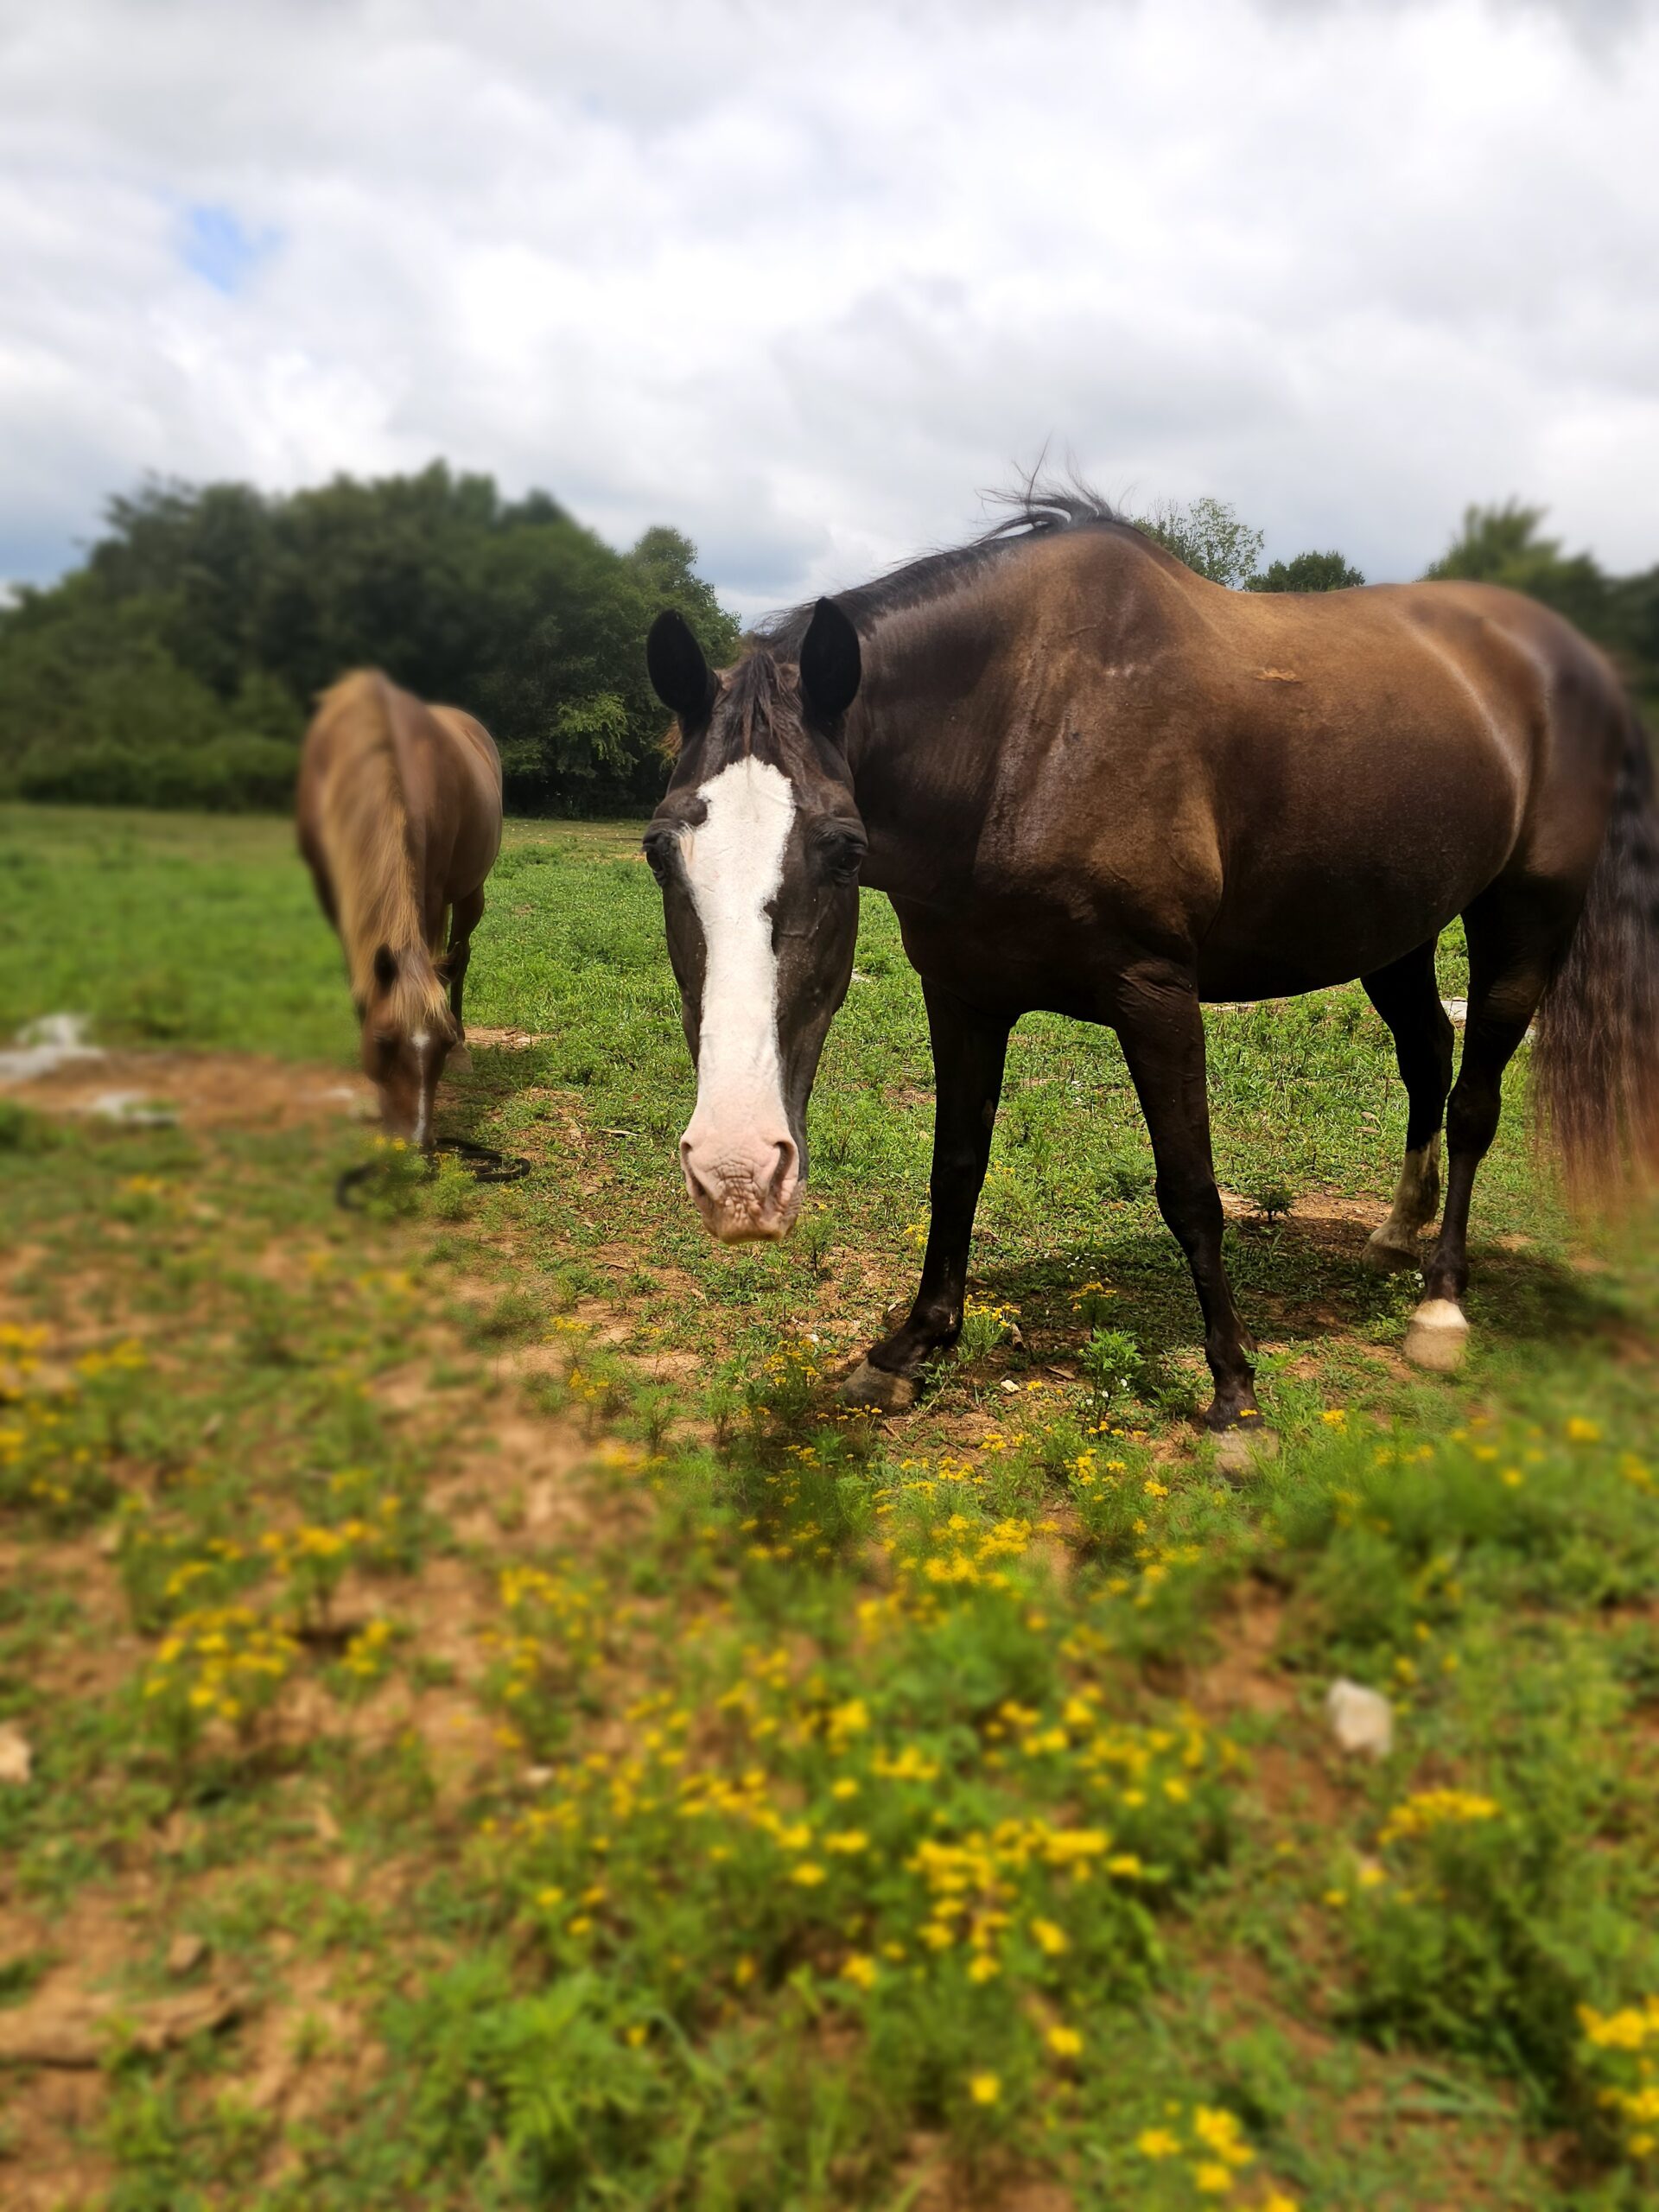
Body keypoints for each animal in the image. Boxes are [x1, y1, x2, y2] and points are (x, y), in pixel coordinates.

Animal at [298, 664, 504, 1150]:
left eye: (440, 1044)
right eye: (381, 1040)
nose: (417, 1142)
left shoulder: (428, 890)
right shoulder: (331, 888)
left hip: (469, 892)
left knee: (460, 955)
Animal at [645, 488, 1659, 1433]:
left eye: (845, 851)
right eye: (658, 850)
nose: (737, 1174)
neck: (1027, 728)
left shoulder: (1157, 995)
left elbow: (1190, 1189)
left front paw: (1235, 1391)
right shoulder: (963, 995)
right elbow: (957, 1165)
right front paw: (909, 1348)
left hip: (1523, 922)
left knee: (1475, 1101)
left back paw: (1441, 1302)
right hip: (1397, 931)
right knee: (1425, 1057)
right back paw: (1397, 1231)